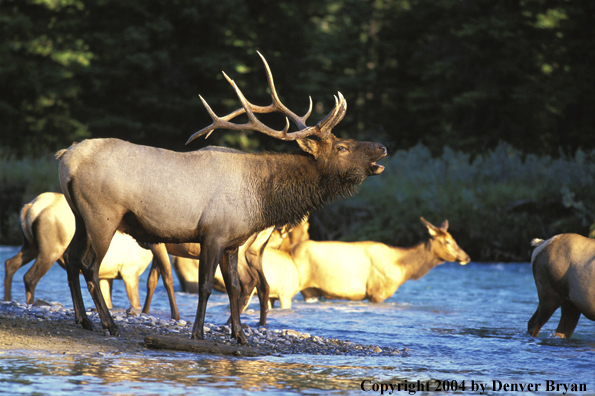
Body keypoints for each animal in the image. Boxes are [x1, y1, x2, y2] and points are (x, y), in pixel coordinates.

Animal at [3, 193, 177, 316]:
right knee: (29, 277)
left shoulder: (107, 275)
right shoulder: (129, 271)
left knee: (10, 263)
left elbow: (108, 301)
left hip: (30, 245)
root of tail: (29, 207)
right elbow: (135, 304)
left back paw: (7, 299)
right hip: (50, 249)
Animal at [56, 52, 386, 344]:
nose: (382, 147)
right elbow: (205, 286)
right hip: (103, 215)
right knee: (89, 265)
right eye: (342, 147)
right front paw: (198, 332)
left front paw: (240, 336)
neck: (263, 200)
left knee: (71, 259)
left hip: (79, 216)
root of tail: (65, 158)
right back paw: (108, 324)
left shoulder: (233, 242)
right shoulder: (213, 233)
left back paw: (84, 320)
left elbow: (234, 288)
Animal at [294, 218, 470, 302]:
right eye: (447, 242)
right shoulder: (376, 292)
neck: (402, 269)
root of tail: (292, 249)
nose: (466, 257)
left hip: (313, 291)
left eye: (453, 239)